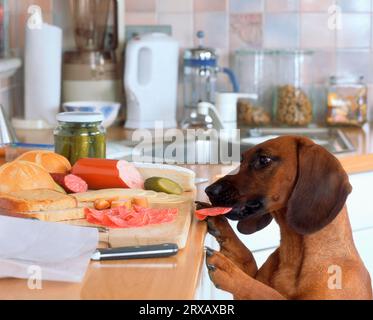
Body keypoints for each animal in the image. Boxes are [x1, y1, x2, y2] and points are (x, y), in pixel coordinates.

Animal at [205, 136, 370, 300]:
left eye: (264, 159)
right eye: (241, 160)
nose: (208, 190)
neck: (292, 257)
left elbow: (266, 291)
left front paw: (229, 271)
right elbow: (247, 257)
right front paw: (220, 225)